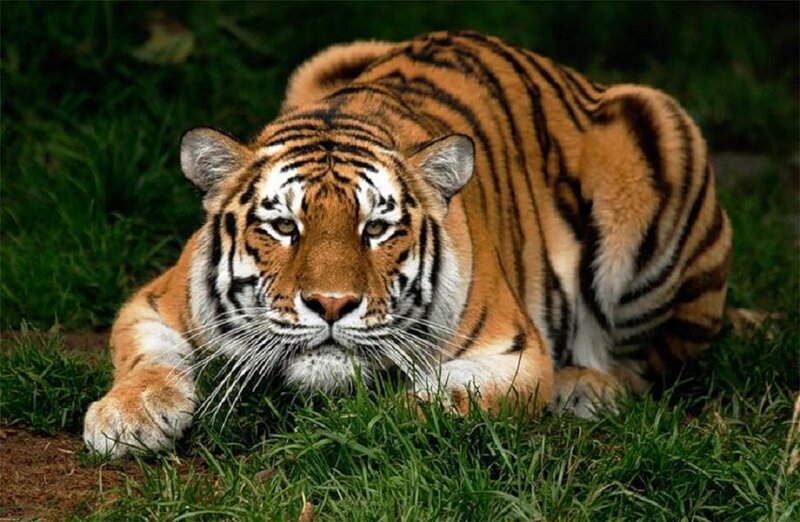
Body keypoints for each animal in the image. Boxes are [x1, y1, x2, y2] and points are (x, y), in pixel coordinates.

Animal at [83, 31, 732, 457]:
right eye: (285, 227)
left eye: (376, 228)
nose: (332, 305)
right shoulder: (153, 302)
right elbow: (147, 358)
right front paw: (126, 418)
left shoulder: (514, 352)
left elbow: (437, 402)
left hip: (658, 136)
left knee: (650, 364)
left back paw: (585, 388)